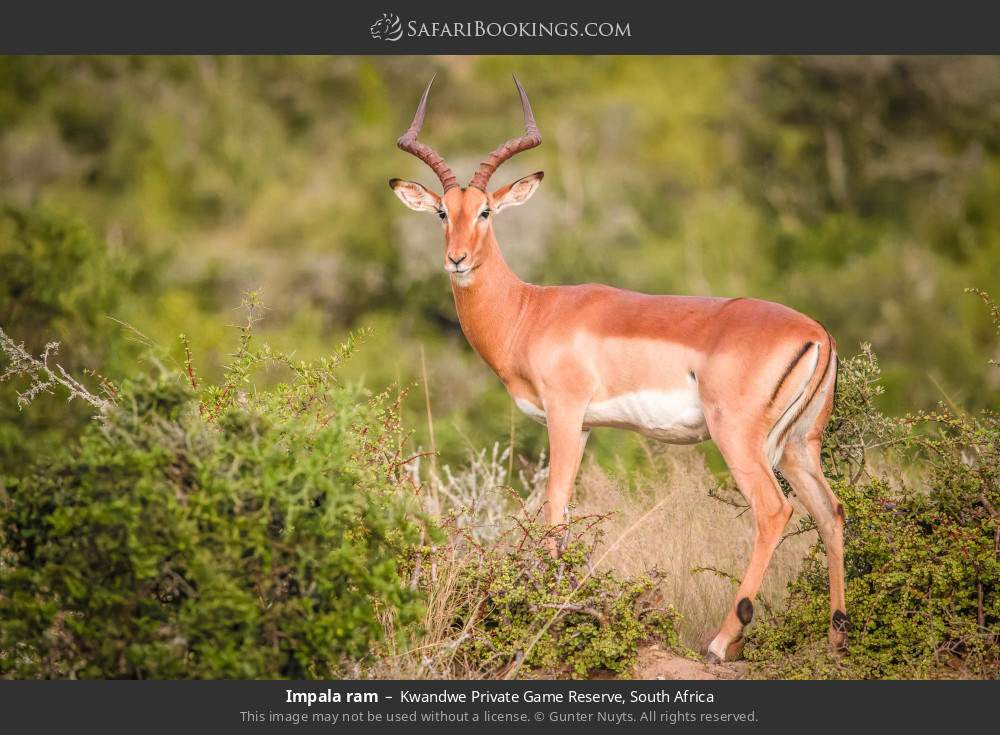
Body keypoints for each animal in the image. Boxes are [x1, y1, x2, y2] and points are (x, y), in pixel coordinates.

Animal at [389, 76, 847, 663]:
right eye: (443, 212)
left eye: (486, 210)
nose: (457, 259)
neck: (529, 311)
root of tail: (817, 333)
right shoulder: (585, 426)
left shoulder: (564, 414)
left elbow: (555, 507)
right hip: (798, 446)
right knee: (830, 513)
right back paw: (837, 637)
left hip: (739, 440)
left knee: (774, 511)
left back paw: (721, 642)